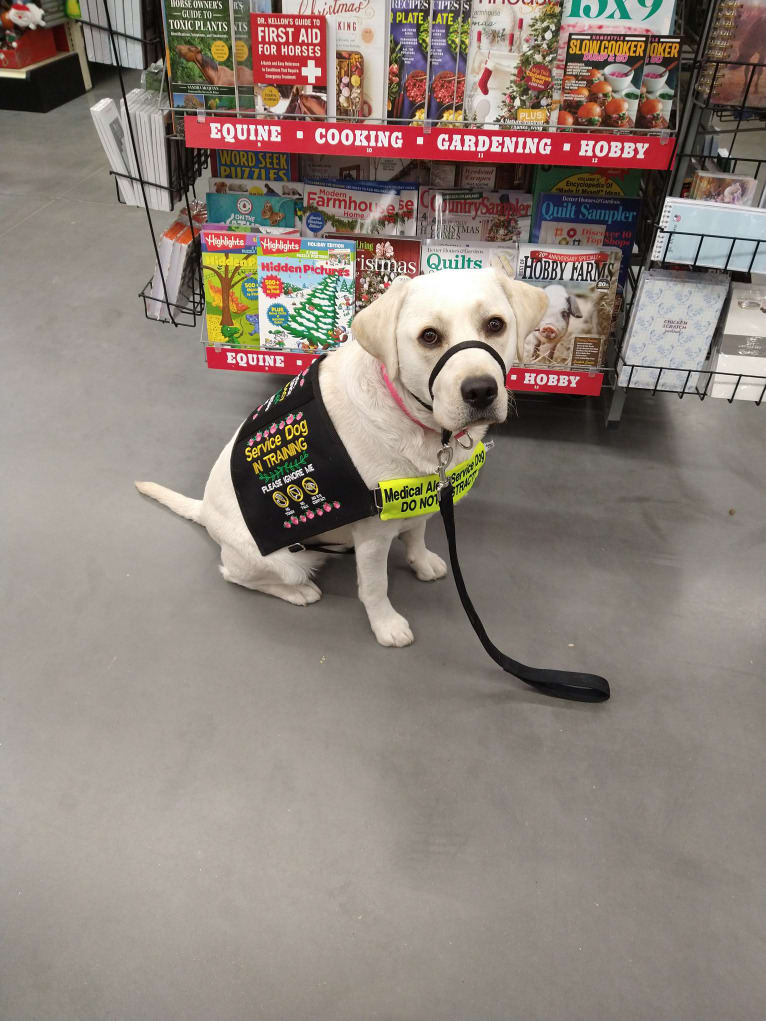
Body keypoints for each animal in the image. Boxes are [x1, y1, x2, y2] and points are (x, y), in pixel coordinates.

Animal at [136, 267, 547, 641]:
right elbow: (375, 586)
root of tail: (204, 510)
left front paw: (422, 562)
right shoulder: (373, 537)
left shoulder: (419, 497)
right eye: (429, 336)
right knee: (237, 575)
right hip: (282, 562)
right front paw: (386, 625)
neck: (417, 421)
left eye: (495, 325)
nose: (480, 391)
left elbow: (416, 533)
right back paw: (299, 592)